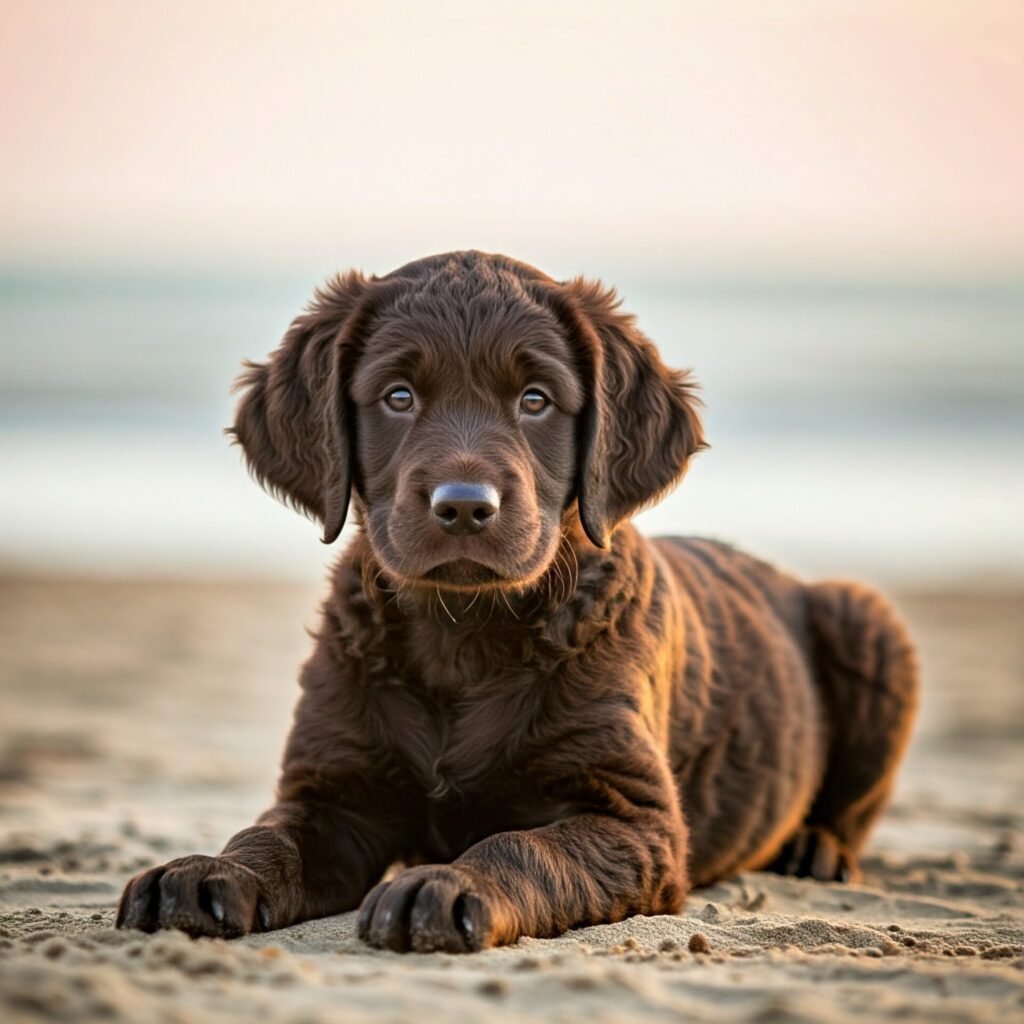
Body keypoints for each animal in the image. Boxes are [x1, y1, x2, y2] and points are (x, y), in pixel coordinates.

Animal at [116, 249, 917, 950]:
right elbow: (269, 835)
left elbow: (525, 847)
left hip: (869, 621)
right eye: (398, 397)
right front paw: (205, 871)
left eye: (536, 401)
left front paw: (446, 885)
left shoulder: (632, 816)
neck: (462, 633)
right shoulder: (333, 792)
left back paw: (814, 848)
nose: (465, 506)